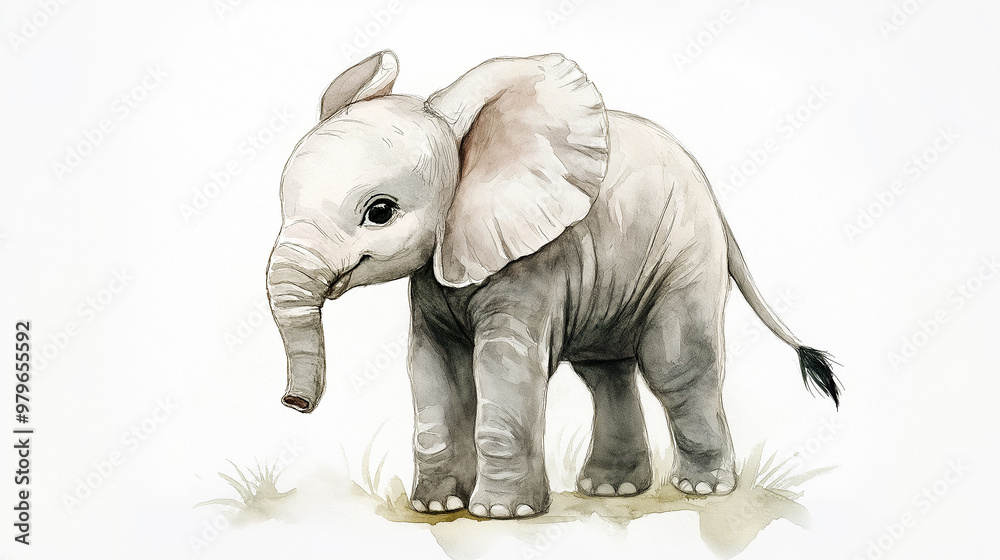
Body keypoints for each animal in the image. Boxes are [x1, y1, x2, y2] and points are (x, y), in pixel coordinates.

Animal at [265, 50, 840, 519]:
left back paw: (702, 490)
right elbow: (434, 369)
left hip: (685, 252)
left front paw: (501, 515)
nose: (293, 404)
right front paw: (437, 507)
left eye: (380, 212)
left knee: (675, 363)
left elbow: (505, 366)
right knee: (606, 373)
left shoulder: (533, 264)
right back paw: (610, 491)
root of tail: (713, 196)